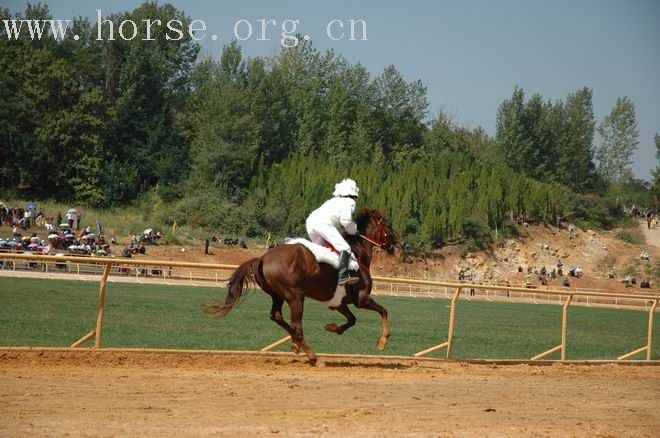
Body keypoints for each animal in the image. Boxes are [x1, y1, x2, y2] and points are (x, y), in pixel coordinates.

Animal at [206, 207, 400, 364]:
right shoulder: (361, 299)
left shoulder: (339, 302)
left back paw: (295, 344)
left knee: (277, 316)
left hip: (278, 295)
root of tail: (262, 258)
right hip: (295, 296)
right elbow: (383, 311)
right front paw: (383, 341)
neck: (357, 256)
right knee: (296, 327)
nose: (400, 244)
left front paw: (332, 327)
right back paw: (313, 357)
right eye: (389, 227)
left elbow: (352, 320)